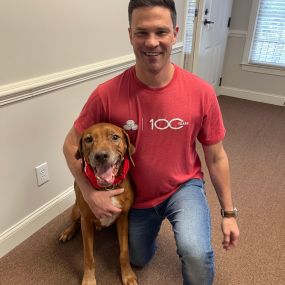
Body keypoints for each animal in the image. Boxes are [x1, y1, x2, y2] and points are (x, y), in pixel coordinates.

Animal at [58, 122, 136, 284]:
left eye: (115, 137)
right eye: (88, 139)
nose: (100, 156)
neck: (107, 188)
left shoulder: (123, 218)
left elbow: (124, 252)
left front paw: (128, 274)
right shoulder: (86, 222)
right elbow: (88, 256)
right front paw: (88, 279)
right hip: (76, 211)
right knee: (75, 221)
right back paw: (68, 232)